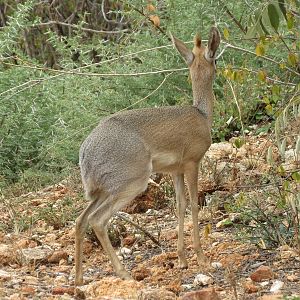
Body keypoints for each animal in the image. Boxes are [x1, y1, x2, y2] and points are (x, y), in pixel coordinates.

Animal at [75, 27, 220, 284]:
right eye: (216, 59)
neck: (201, 114)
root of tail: (86, 152)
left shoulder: (176, 171)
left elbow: (180, 205)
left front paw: (182, 259)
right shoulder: (192, 163)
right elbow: (194, 204)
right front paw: (201, 258)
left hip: (103, 191)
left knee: (81, 220)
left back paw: (79, 279)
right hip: (132, 185)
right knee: (97, 220)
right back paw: (124, 273)